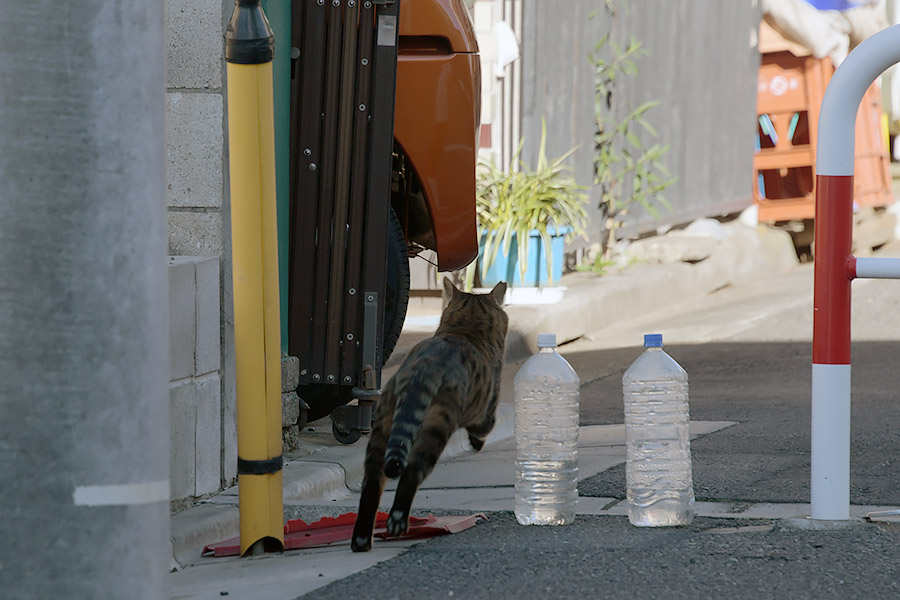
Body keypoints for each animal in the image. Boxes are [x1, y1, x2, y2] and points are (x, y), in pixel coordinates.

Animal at [350, 278, 506, 552]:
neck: (464, 329)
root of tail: (422, 369)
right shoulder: (486, 410)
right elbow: (483, 429)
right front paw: (476, 443)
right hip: (437, 425)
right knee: (411, 474)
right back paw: (397, 522)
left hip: (382, 427)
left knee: (371, 484)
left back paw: (361, 539)